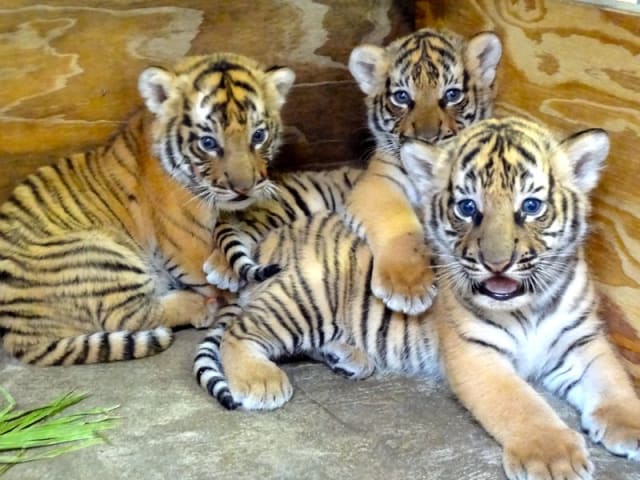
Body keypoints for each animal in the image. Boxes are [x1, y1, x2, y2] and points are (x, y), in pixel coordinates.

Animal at [0, 53, 295, 366]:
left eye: (258, 136)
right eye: (208, 142)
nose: (244, 188)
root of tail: (17, 332)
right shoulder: (187, 242)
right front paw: (226, 281)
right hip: (97, 253)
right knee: (129, 315)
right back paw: (199, 305)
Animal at [195, 117, 640, 479]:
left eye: (531, 206)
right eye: (467, 208)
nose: (496, 264)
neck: (528, 302)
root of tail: (271, 238)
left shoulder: (583, 342)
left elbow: (614, 383)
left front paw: (630, 428)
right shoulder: (475, 353)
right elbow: (520, 404)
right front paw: (552, 456)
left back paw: (347, 356)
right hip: (304, 300)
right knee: (239, 331)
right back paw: (261, 380)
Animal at [203, 27, 502, 315]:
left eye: (452, 95)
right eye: (402, 97)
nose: (427, 139)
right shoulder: (378, 185)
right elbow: (399, 224)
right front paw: (407, 285)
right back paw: (221, 266)